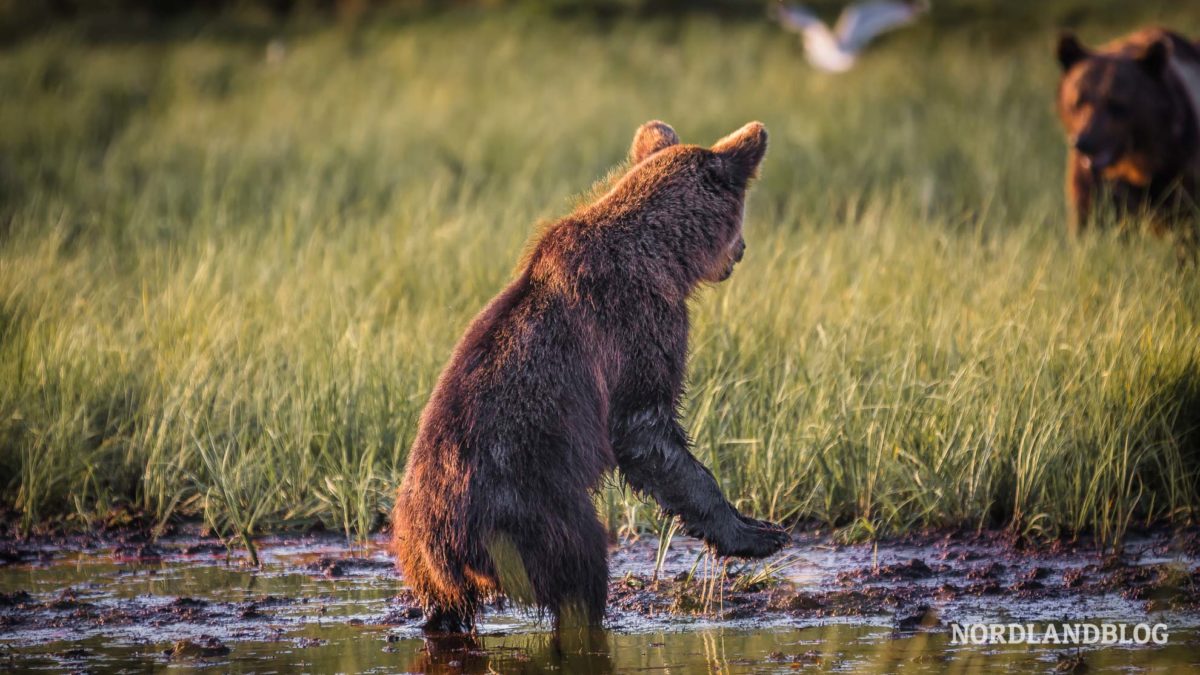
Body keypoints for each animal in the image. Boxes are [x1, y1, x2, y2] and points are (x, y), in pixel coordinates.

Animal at [391, 120, 787, 629]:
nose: (741, 250)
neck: (665, 255)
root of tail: (442, 549)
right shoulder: (636, 322)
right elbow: (647, 428)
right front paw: (758, 532)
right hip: (531, 514)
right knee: (580, 571)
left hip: (422, 558)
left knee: (446, 608)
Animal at [1056, 26, 1200, 234]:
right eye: (1078, 100)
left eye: (1115, 102)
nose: (1084, 142)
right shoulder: (1097, 184)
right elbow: (1090, 220)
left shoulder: (1180, 168)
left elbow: (1188, 221)